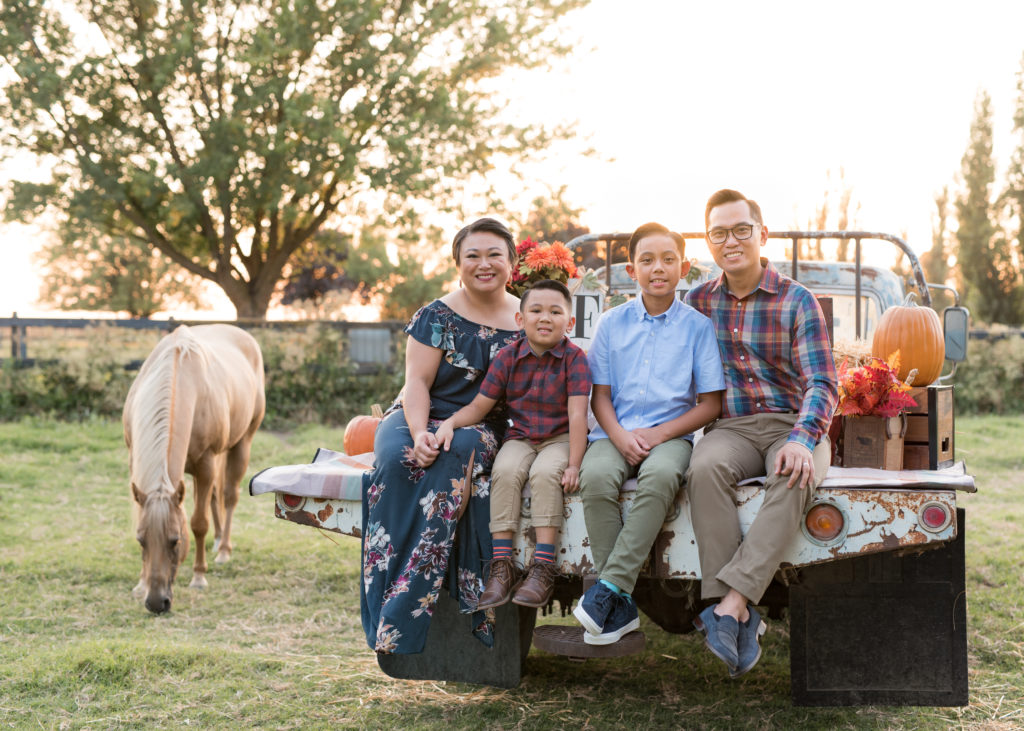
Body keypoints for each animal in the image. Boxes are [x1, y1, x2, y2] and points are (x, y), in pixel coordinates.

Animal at [122, 321, 264, 610]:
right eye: (141, 540)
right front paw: (140, 583)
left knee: (228, 495)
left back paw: (223, 550)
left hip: (242, 443)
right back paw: (219, 540)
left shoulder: (205, 466)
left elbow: (199, 523)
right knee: (215, 495)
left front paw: (199, 577)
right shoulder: (136, 462)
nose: (156, 603)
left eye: (175, 540)